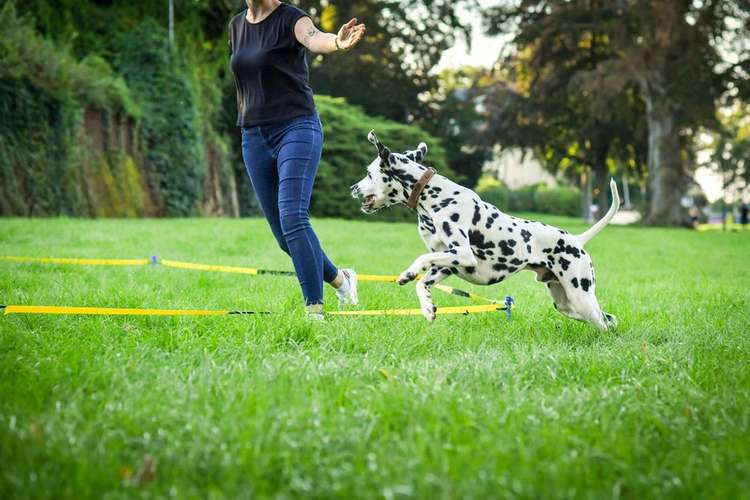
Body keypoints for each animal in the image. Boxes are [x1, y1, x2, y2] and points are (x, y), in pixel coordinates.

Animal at [352, 131, 624, 330]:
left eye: (368, 173)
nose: (352, 188)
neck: (433, 196)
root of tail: (577, 240)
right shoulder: (447, 265)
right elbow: (423, 284)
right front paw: (427, 308)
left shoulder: (462, 254)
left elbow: (422, 258)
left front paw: (409, 272)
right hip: (567, 304)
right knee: (607, 319)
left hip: (581, 297)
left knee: (603, 323)